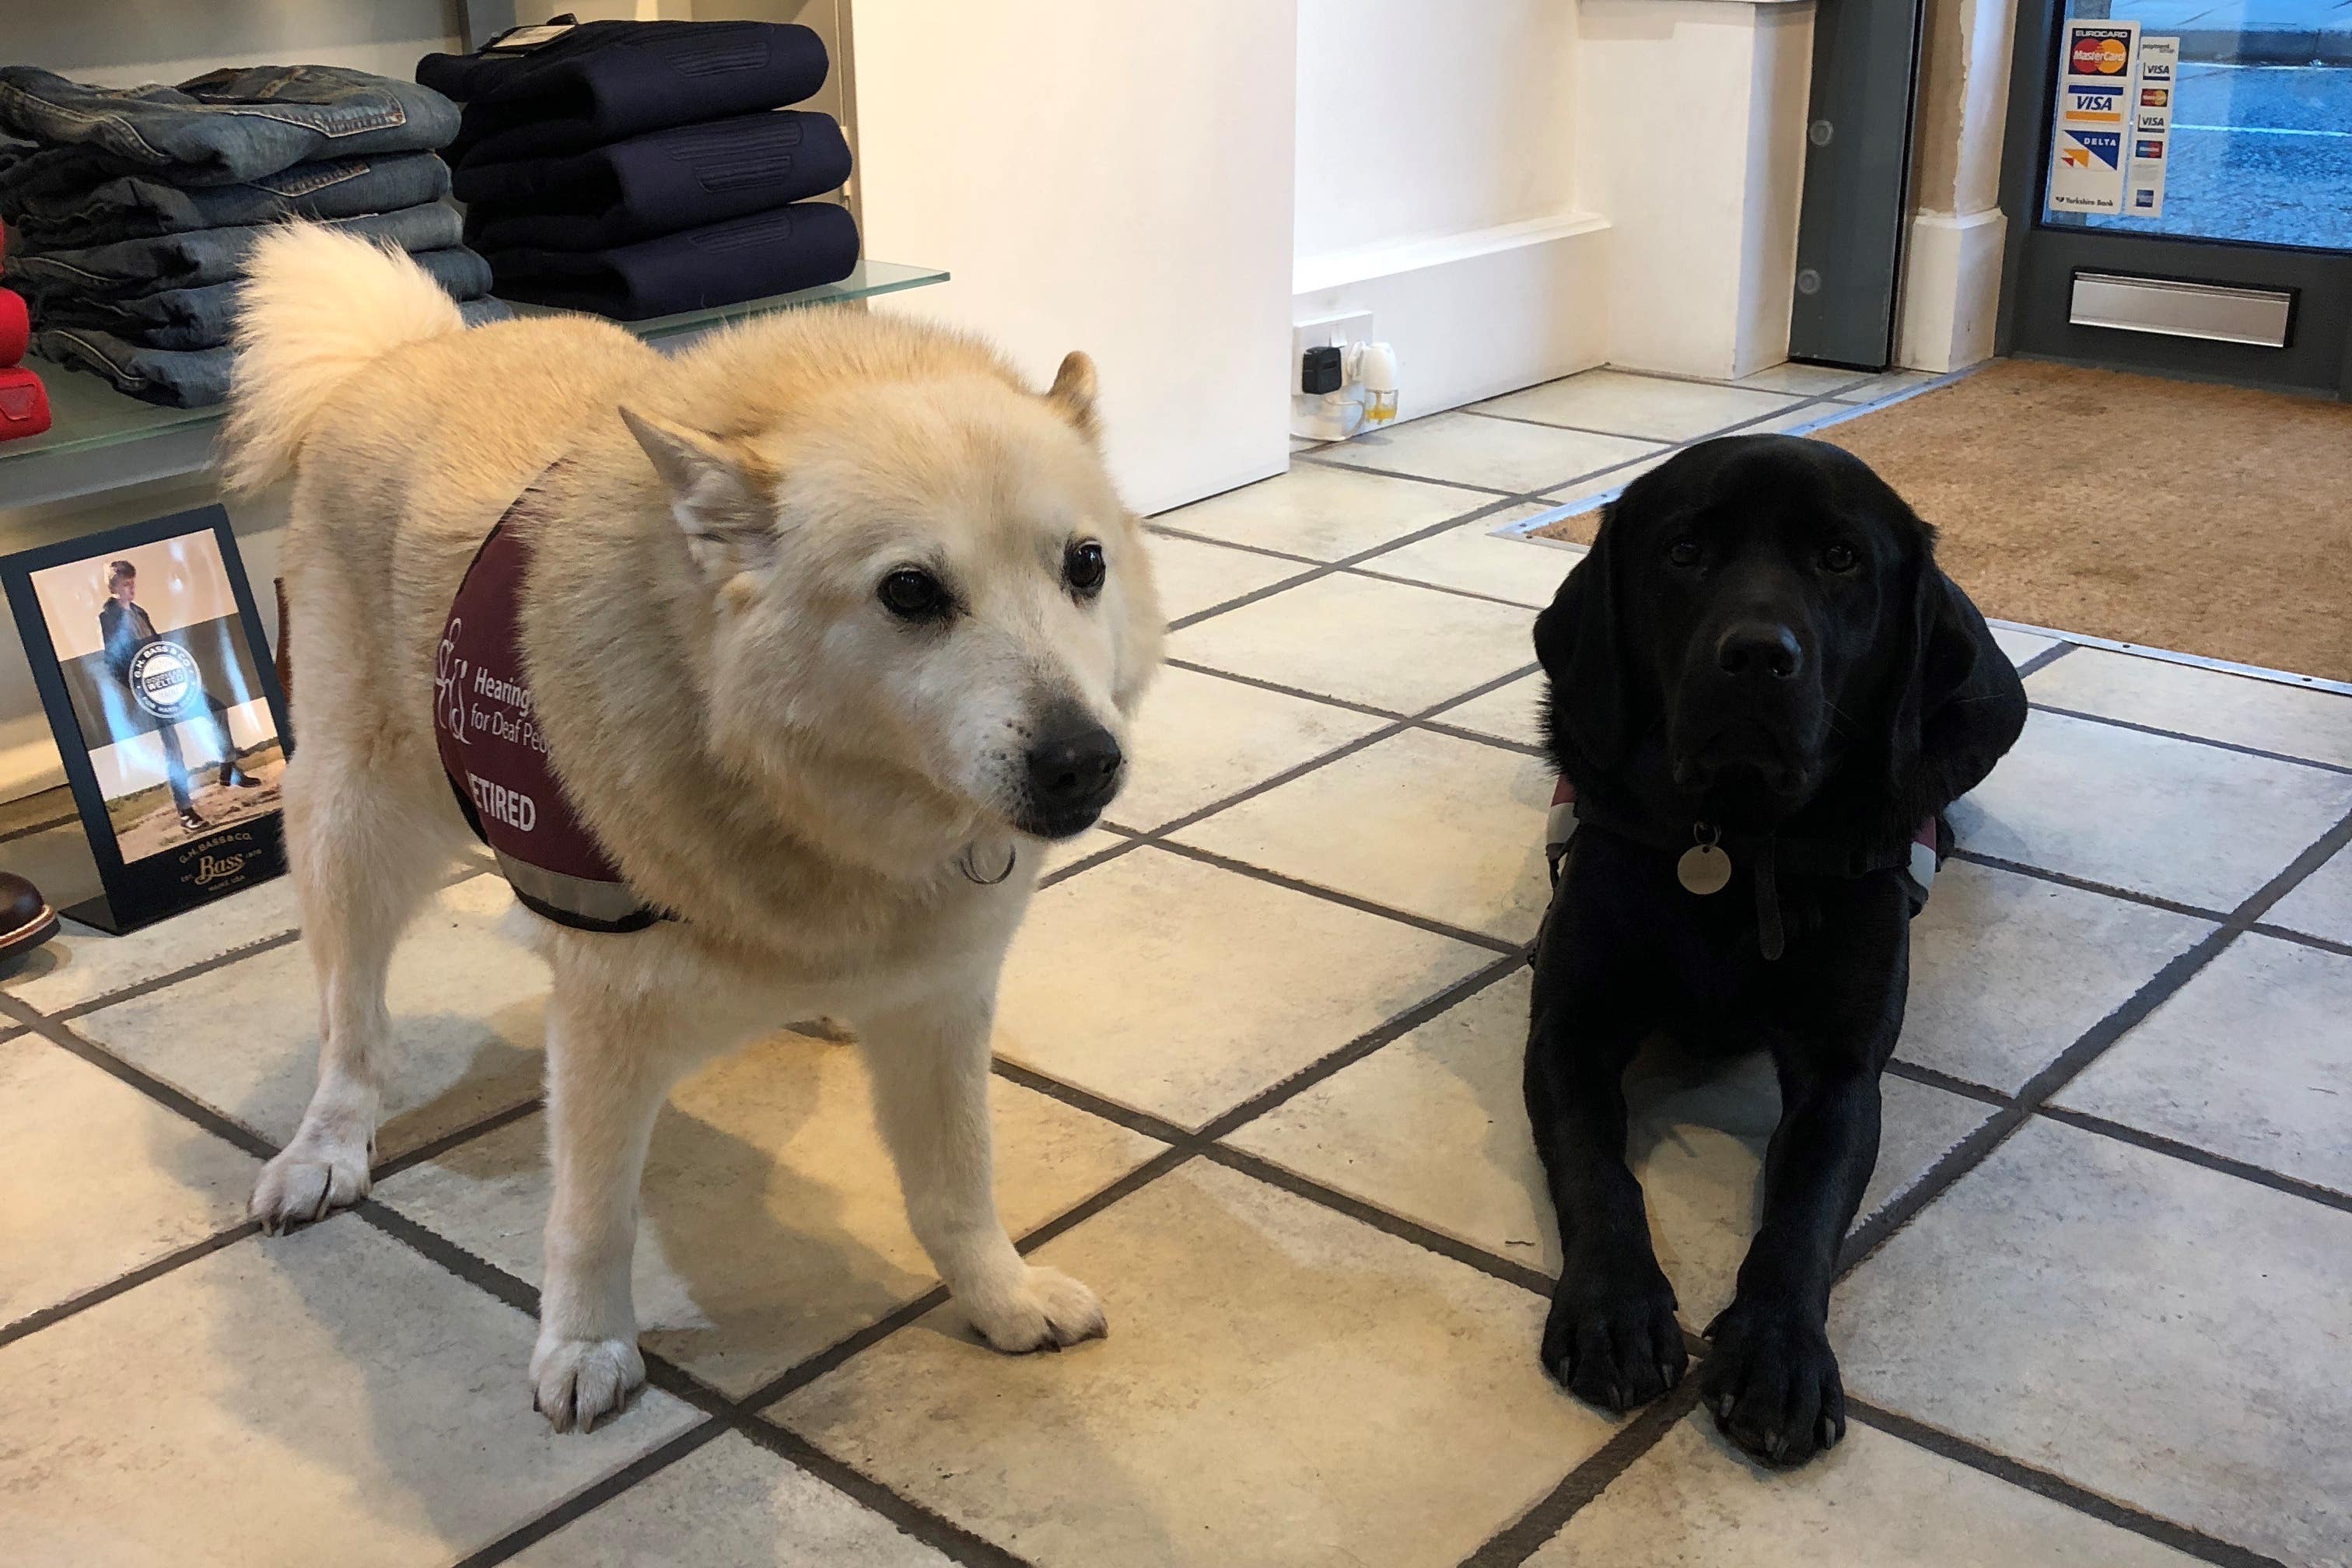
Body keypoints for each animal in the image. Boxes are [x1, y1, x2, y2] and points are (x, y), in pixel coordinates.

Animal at [224, 230, 1161, 1438]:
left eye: (1085, 567)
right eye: (911, 592)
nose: (1084, 760)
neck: (803, 807)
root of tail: (403, 351)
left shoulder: (938, 1004)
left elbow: (957, 1183)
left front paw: (999, 1299)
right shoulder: (606, 1022)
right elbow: (590, 1215)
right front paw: (586, 1345)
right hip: (355, 830)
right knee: (352, 1028)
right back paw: (324, 1151)